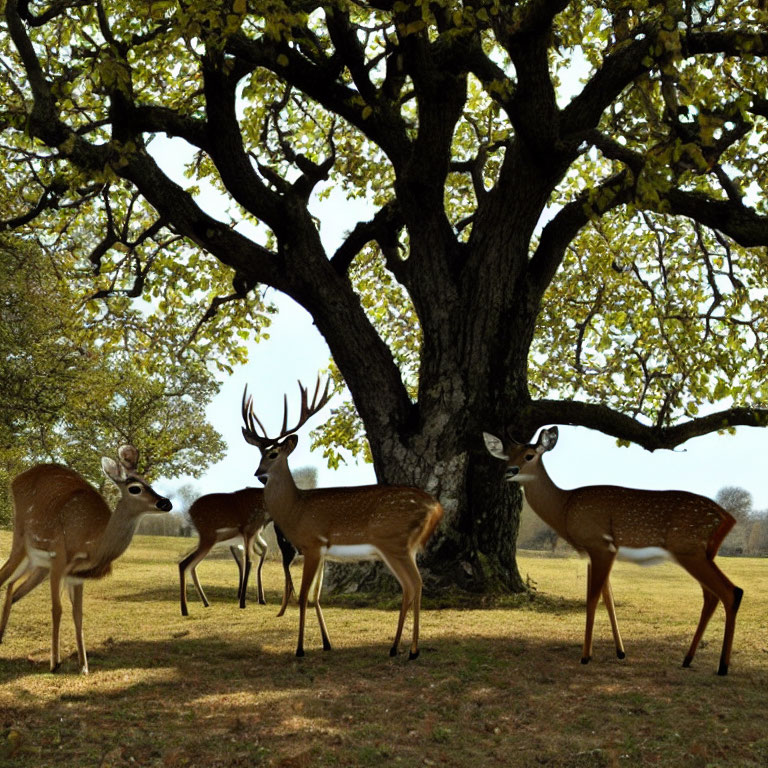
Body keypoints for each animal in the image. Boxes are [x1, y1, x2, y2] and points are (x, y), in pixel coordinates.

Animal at [0, 444, 171, 672]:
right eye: (135, 488)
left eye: (149, 482)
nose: (166, 503)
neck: (91, 546)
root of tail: (14, 481)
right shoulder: (59, 559)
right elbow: (57, 609)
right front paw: (55, 664)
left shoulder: (75, 575)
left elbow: (78, 614)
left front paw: (84, 666)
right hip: (20, 541)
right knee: (4, 577)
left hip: (38, 564)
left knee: (13, 587)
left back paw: (1, 636)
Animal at [240, 378, 444, 660]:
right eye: (258, 454)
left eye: (273, 455)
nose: (258, 473)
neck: (296, 509)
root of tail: (435, 506)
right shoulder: (323, 552)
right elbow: (315, 597)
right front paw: (326, 643)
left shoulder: (313, 544)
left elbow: (303, 596)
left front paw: (300, 649)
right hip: (405, 547)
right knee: (411, 586)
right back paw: (398, 648)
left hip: (393, 542)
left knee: (414, 583)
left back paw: (410, 650)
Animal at [486, 428, 744, 676]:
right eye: (509, 454)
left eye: (530, 455)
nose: (510, 471)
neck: (564, 508)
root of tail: (727, 518)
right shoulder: (594, 554)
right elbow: (607, 597)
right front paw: (620, 652)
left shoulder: (600, 545)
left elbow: (593, 598)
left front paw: (585, 656)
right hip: (700, 554)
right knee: (712, 596)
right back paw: (688, 659)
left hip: (690, 551)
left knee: (732, 591)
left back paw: (722, 667)